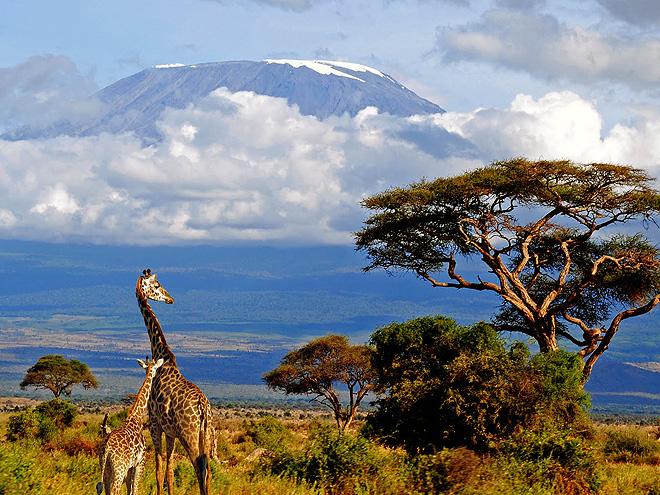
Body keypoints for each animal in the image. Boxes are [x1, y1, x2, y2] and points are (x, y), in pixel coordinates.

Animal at [96, 356, 164, 495]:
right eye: (155, 369)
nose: (154, 375)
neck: (136, 416)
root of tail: (106, 448)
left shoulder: (130, 467)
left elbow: (129, 490)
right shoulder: (140, 463)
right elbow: (135, 489)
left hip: (105, 467)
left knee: (103, 488)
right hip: (119, 469)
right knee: (115, 490)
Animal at [135, 270, 215, 495]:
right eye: (157, 286)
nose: (170, 298)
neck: (162, 354)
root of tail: (203, 408)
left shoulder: (154, 424)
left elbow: (158, 469)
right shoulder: (170, 432)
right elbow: (169, 471)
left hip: (189, 435)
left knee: (200, 468)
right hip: (205, 435)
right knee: (208, 471)